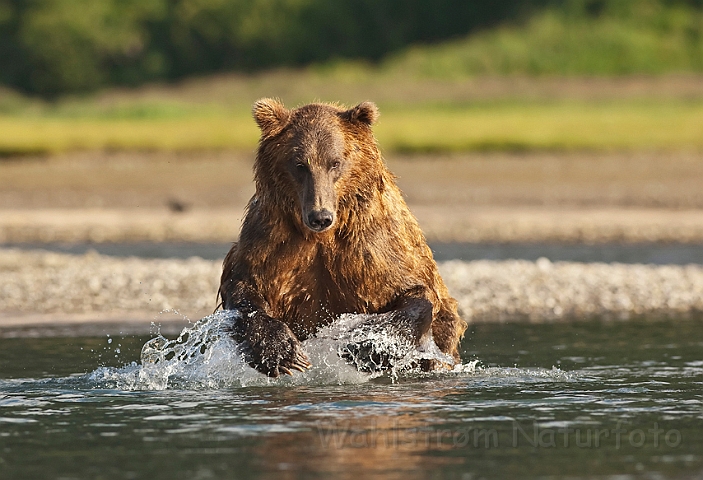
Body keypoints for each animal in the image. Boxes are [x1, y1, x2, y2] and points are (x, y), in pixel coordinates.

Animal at [219, 98, 468, 376]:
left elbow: (416, 293)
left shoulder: (372, 248)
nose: (320, 216)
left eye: (335, 162)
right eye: (300, 164)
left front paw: (366, 346)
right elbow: (245, 288)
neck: (322, 237)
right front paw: (283, 353)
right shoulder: (272, 241)